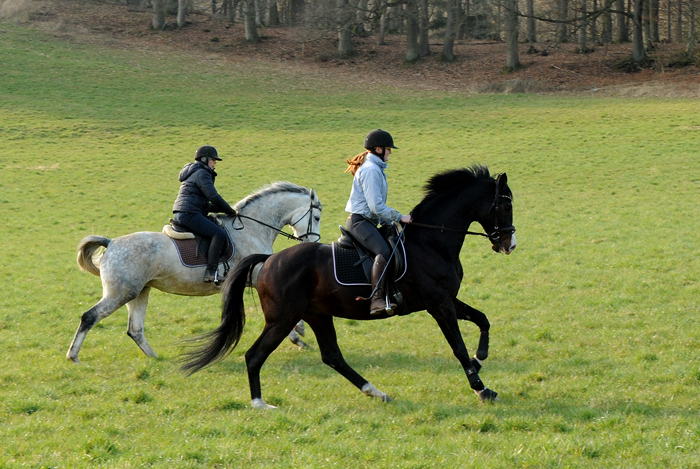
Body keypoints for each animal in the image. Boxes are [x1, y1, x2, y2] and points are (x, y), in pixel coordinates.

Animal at [65, 182, 322, 362]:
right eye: (317, 217)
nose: (312, 243)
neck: (251, 229)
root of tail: (111, 243)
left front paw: (298, 334)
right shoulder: (256, 277)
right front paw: (298, 332)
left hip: (139, 292)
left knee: (134, 330)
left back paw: (156, 358)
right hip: (121, 293)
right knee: (90, 317)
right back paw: (73, 355)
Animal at [183, 166, 516, 408]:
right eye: (504, 205)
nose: (509, 244)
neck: (431, 241)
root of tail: (270, 259)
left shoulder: (446, 299)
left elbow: (483, 320)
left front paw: (480, 358)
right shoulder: (438, 303)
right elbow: (457, 347)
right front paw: (481, 388)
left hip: (317, 314)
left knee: (332, 356)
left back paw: (375, 392)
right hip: (283, 319)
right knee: (255, 356)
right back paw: (260, 404)